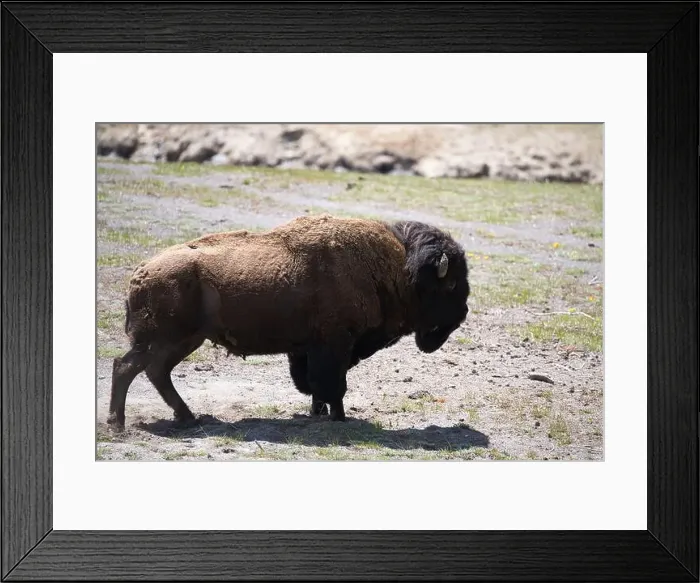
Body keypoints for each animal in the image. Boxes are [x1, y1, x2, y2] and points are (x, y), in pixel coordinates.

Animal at [107, 214, 470, 428]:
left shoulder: (310, 349)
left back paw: (187, 418)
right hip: (164, 339)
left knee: (155, 372)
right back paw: (118, 423)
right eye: (451, 284)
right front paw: (339, 418)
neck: (398, 267)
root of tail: (141, 271)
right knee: (127, 368)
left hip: (184, 340)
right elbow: (332, 384)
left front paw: (319, 412)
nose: (463, 313)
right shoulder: (335, 344)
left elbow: (314, 384)